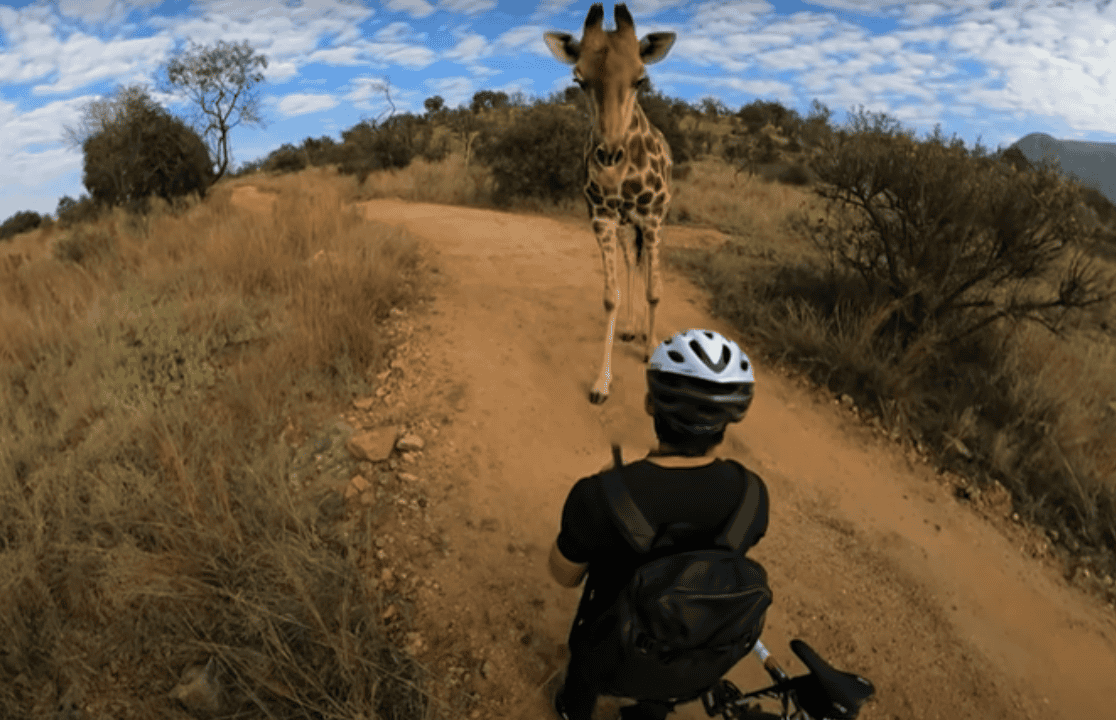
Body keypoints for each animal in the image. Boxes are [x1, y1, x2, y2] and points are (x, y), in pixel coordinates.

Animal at [545, 3, 675, 405]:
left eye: (641, 79)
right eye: (579, 79)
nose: (608, 161)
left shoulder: (653, 217)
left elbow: (655, 289)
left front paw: (651, 351)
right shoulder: (601, 217)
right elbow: (610, 297)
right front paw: (601, 383)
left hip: (650, 220)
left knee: (646, 267)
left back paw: (644, 335)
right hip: (623, 224)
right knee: (633, 262)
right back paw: (631, 328)